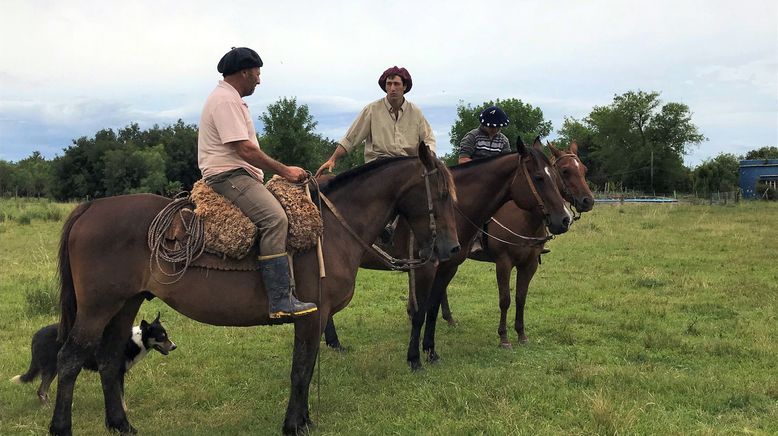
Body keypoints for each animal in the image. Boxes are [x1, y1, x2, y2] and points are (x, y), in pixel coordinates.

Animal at [50, 144, 460, 436]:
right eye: (441, 193)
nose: (451, 248)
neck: (332, 229)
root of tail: (90, 208)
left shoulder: (314, 320)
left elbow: (305, 368)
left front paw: (304, 420)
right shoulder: (312, 317)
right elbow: (301, 370)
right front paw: (294, 424)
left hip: (124, 304)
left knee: (108, 359)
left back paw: (121, 425)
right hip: (97, 308)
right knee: (69, 359)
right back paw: (62, 427)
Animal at [322, 138, 568, 370]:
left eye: (556, 176)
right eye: (539, 177)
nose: (564, 219)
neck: (454, 211)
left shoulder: (449, 267)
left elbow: (432, 308)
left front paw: (431, 352)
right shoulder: (425, 268)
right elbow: (420, 312)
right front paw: (414, 359)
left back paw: (334, 343)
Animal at [442, 141, 596, 350]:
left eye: (584, 170)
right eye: (565, 171)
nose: (588, 201)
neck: (524, 218)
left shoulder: (529, 264)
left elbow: (521, 298)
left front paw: (521, 334)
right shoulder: (503, 263)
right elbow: (505, 299)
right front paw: (504, 337)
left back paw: (449, 319)